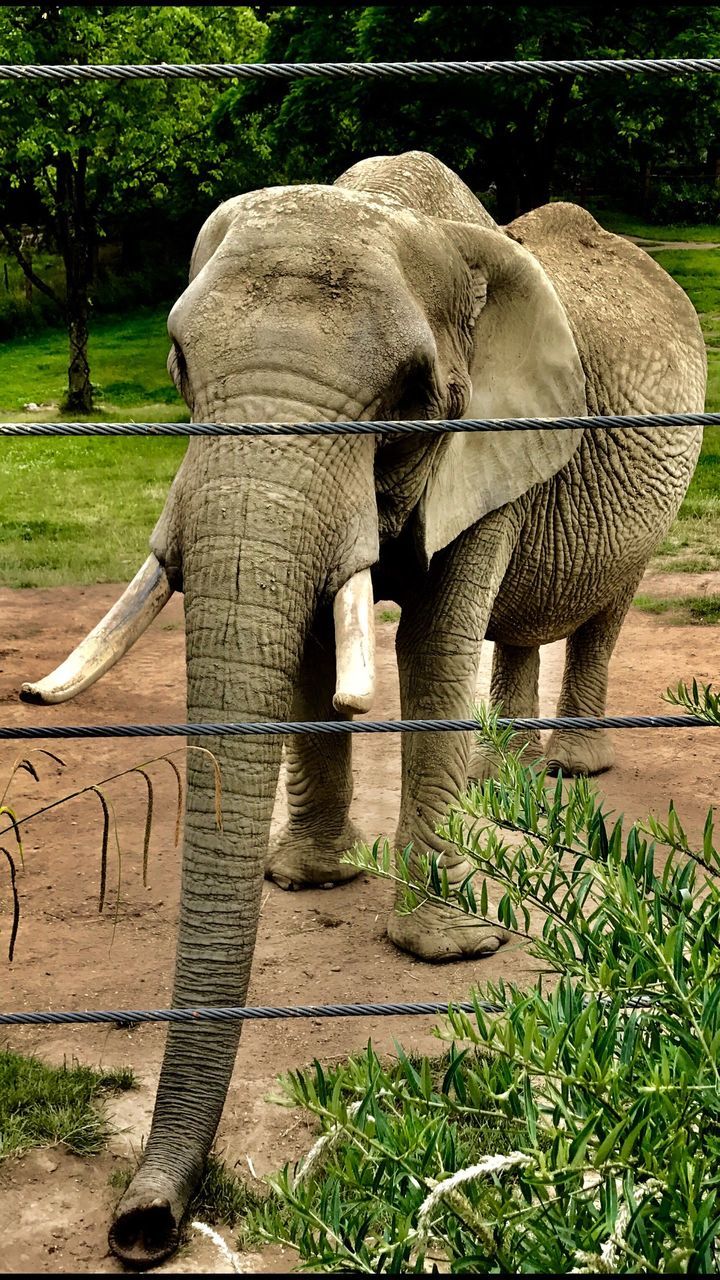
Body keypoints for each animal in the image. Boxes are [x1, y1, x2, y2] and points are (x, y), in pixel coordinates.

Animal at [20, 149, 702, 1259]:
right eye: (178, 363)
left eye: (412, 390)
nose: (143, 1227)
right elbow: (305, 643)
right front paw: (305, 879)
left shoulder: (497, 432)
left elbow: (434, 647)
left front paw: (452, 948)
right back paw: (506, 781)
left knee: (604, 608)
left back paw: (565, 771)